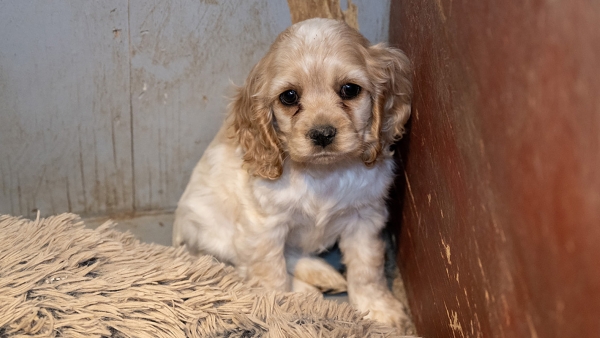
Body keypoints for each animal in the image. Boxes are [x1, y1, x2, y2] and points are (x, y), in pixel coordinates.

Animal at [173, 18, 412, 330]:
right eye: (289, 96)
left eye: (350, 89)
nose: (322, 134)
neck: (321, 172)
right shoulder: (264, 225)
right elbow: (269, 271)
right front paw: (277, 309)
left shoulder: (365, 217)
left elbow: (367, 267)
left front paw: (379, 308)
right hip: (214, 235)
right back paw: (305, 292)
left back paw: (321, 276)